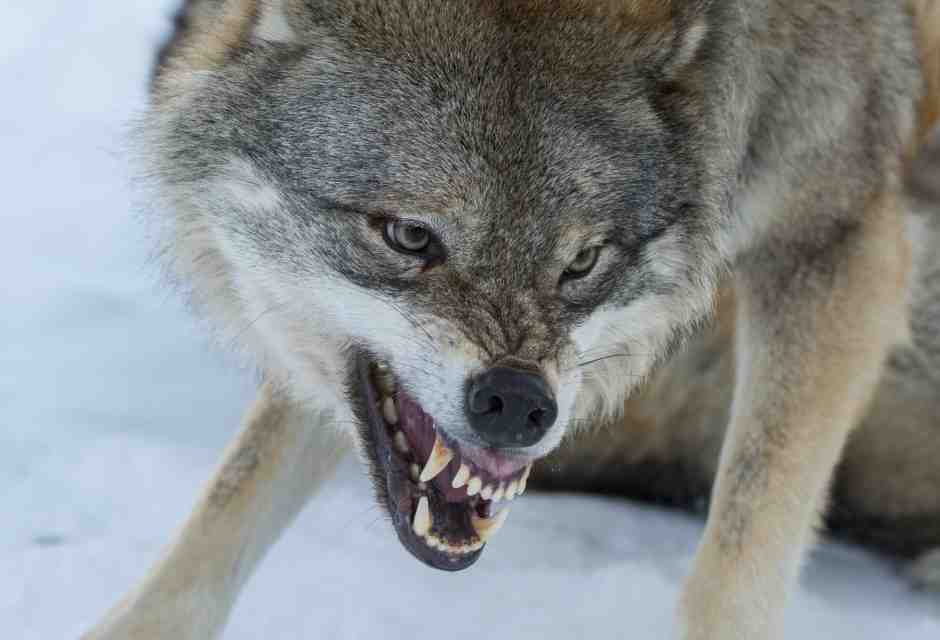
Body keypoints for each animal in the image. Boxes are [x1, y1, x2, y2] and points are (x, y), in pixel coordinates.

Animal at [85, 1, 940, 638]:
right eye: (411, 236)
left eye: (582, 262)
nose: (518, 404)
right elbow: (233, 498)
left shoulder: (837, 237)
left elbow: (742, 549)